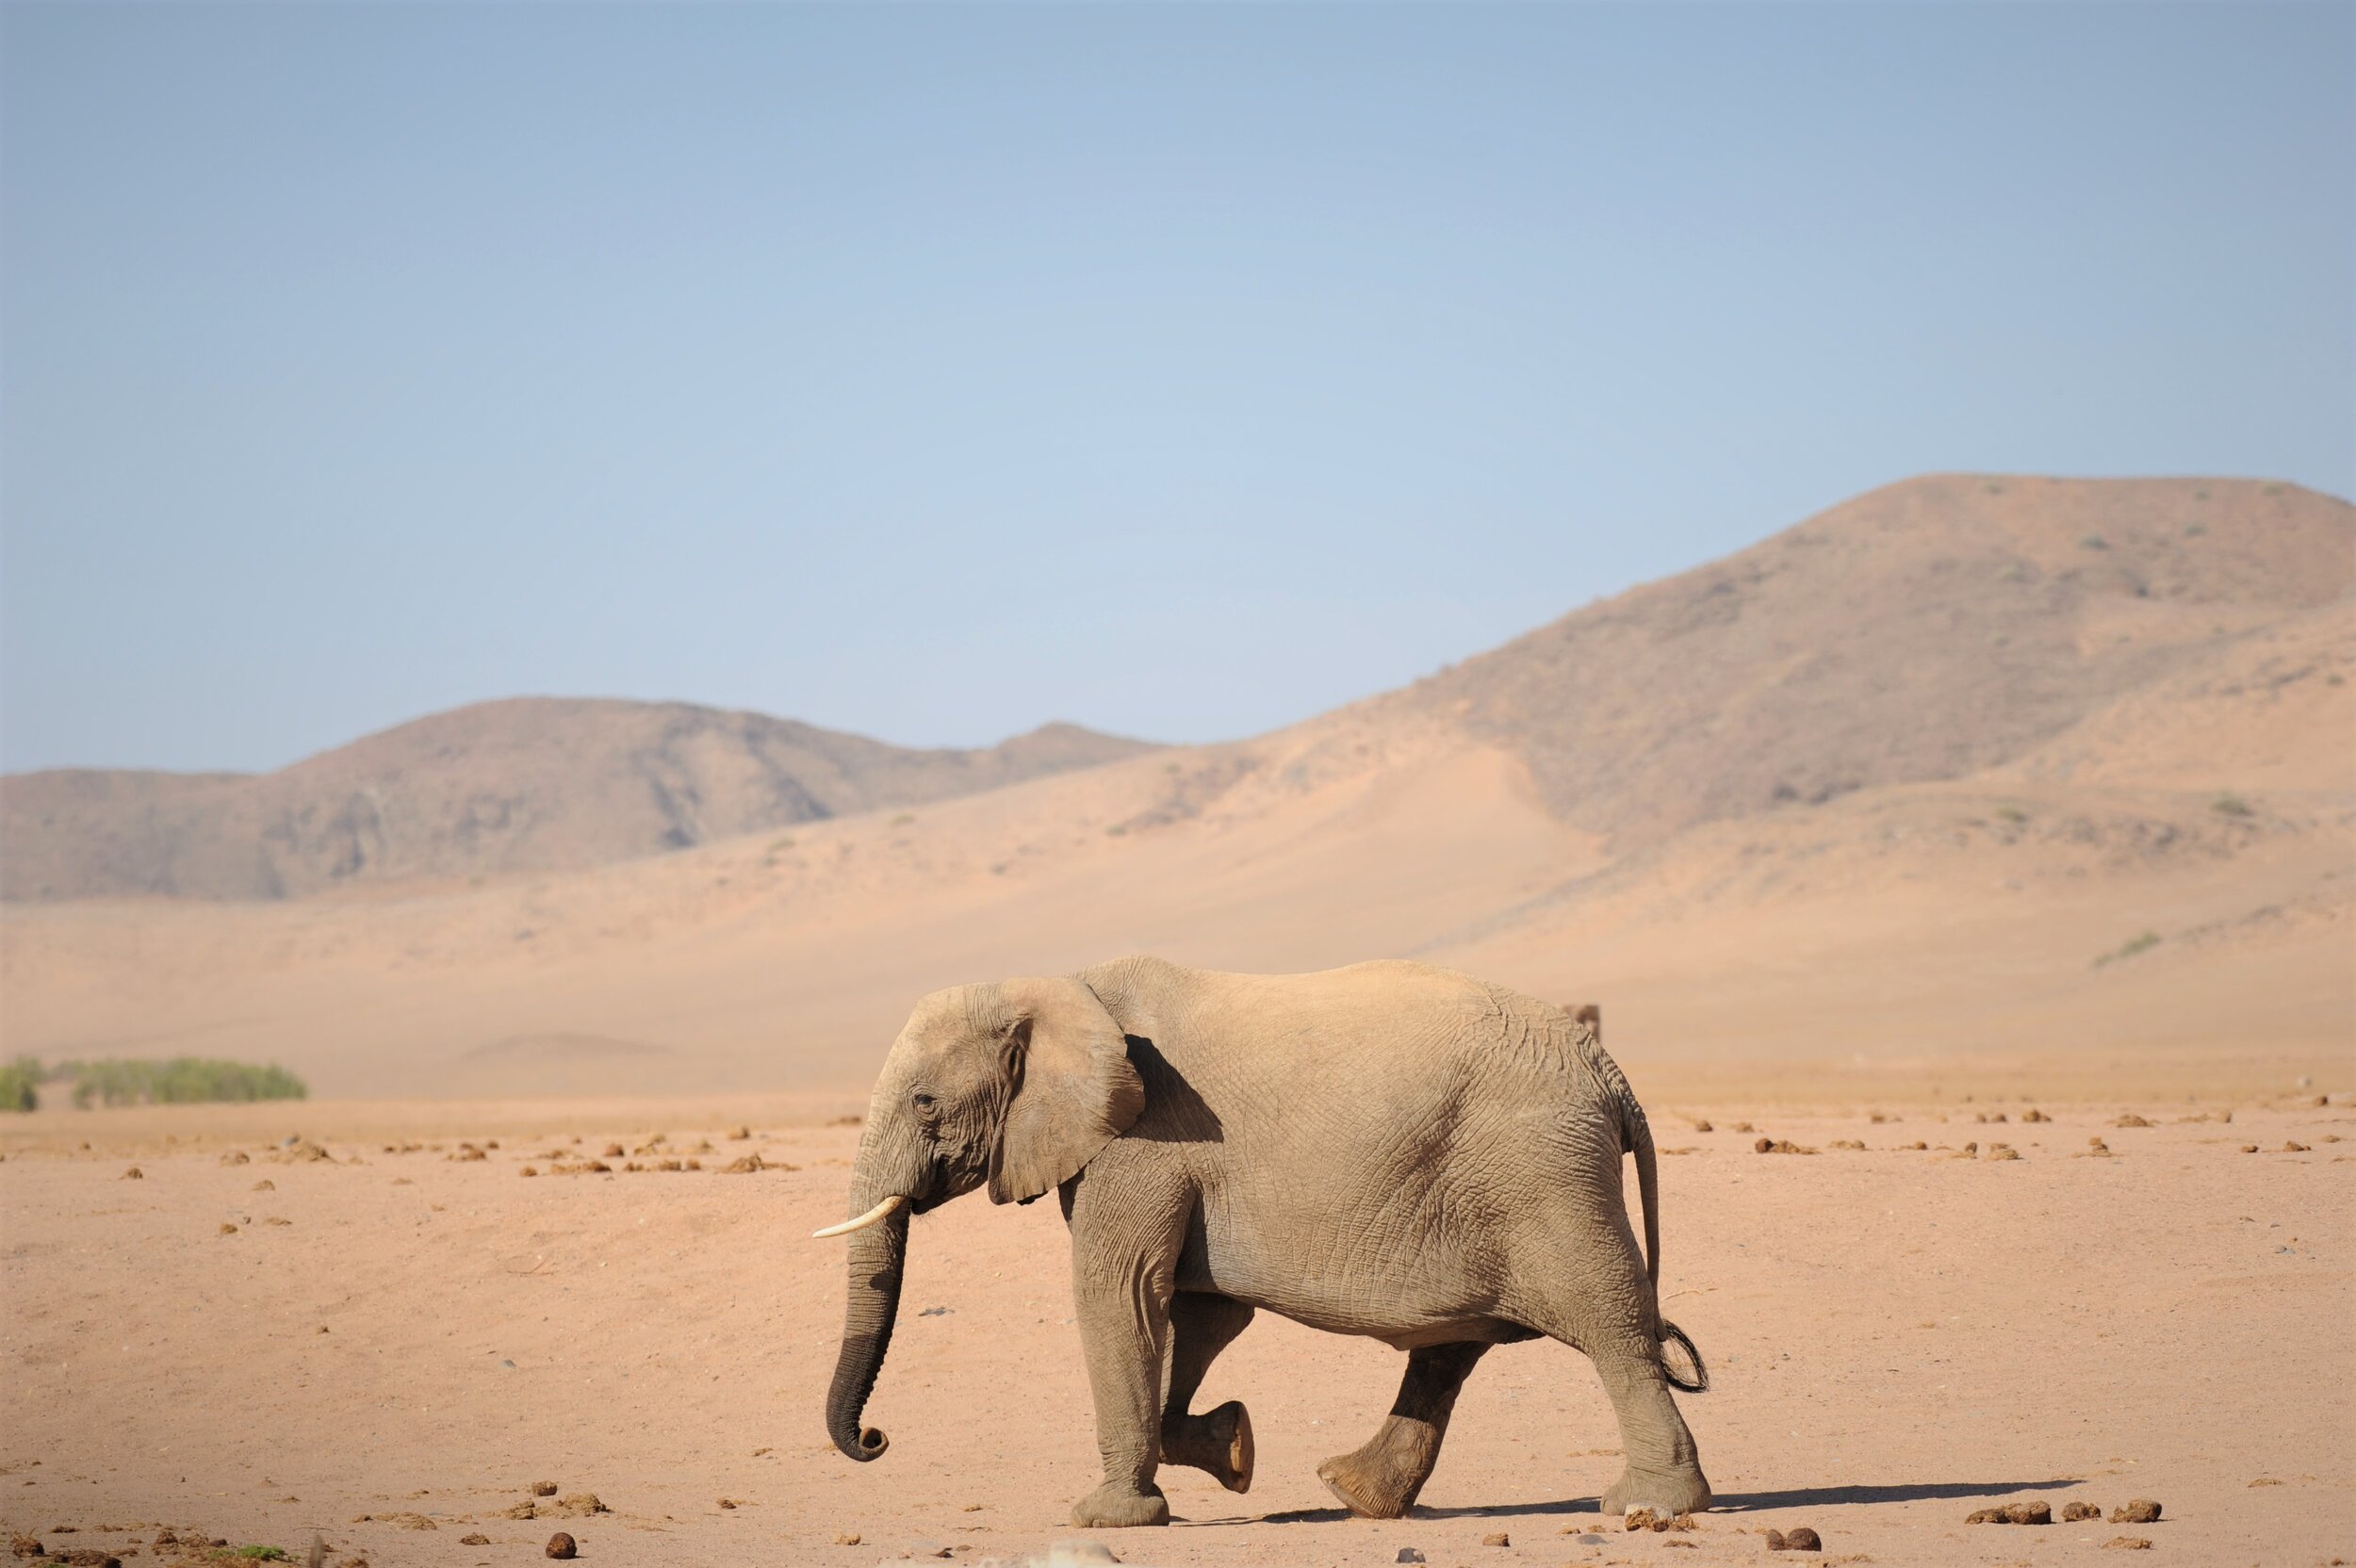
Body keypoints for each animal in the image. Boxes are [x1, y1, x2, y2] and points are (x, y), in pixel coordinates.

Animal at [817, 955, 1711, 1529]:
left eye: (925, 1103)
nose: (875, 1439)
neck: (1060, 989)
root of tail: (1613, 1078)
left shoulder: (1143, 1142)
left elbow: (1120, 1291)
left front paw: (1105, 1519)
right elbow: (1197, 1314)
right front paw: (1236, 1448)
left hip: (1544, 1178)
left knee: (1610, 1328)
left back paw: (1652, 1508)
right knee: (1452, 1349)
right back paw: (1354, 1495)